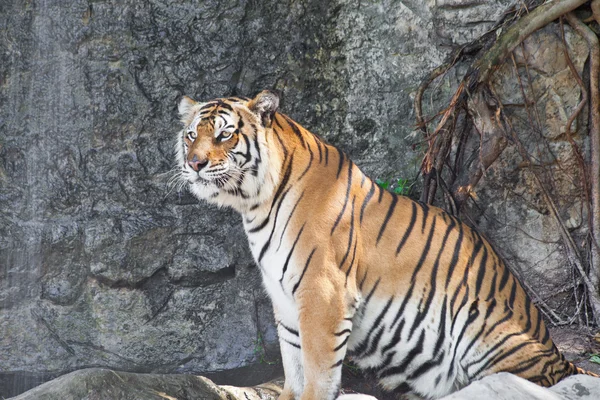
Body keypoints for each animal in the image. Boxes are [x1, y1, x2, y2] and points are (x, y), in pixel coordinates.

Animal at [173, 90, 596, 400]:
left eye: (224, 134)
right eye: (192, 135)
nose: (193, 164)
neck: (255, 204)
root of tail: (562, 357)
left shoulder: (323, 293)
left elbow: (316, 370)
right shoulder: (285, 297)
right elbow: (293, 365)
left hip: (487, 331)